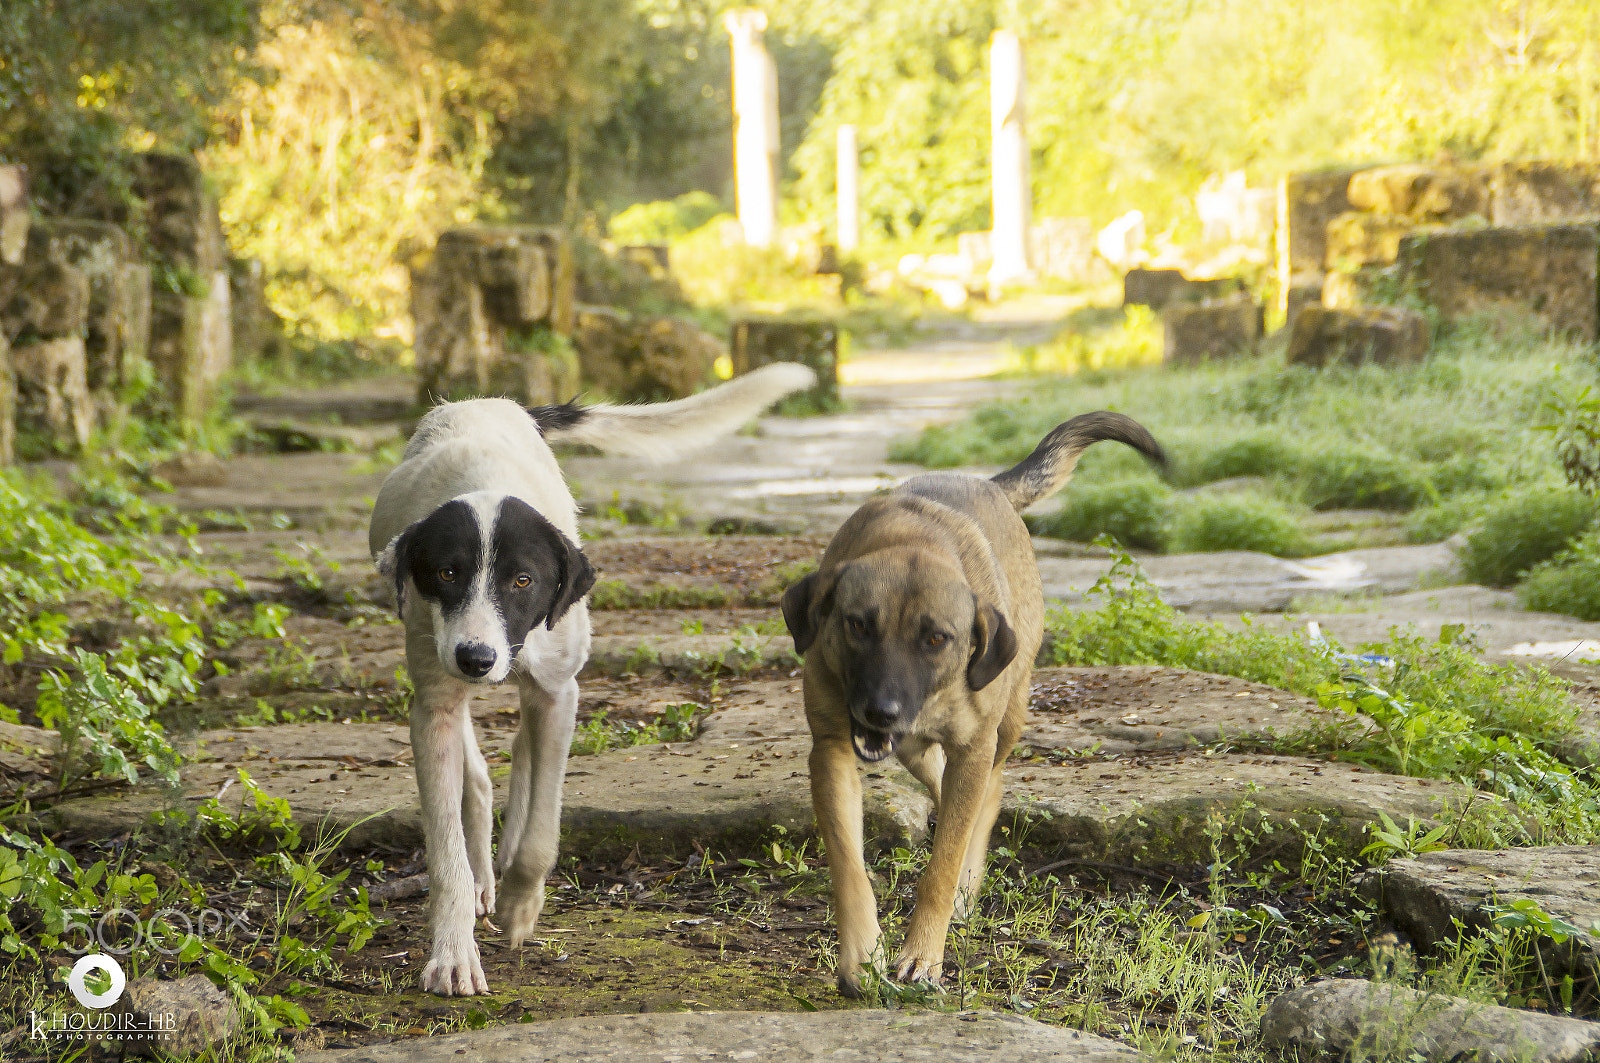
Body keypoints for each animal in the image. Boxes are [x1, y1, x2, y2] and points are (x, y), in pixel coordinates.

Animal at [366, 365, 812, 998]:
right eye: (446, 573)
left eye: (523, 580)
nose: (477, 657)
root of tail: (492, 403)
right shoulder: (433, 700)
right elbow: (446, 849)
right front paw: (453, 952)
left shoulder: (559, 693)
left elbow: (541, 831)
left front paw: (522, 904)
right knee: (478, 775)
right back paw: (483, 873)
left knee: (525, 755)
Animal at [784, 409, 1164, 992]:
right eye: (858, 625)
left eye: (936, 639)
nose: (880, 711)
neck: (913, 539)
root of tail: (989, 484)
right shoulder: (831, 749)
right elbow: (849, 863)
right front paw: (862, 955)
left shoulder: (973, 744)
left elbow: (942, 864)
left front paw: (923, 954)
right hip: (912, 746)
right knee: (944, 783)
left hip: (1006, 718)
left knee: (986, 792)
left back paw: (966, 878)